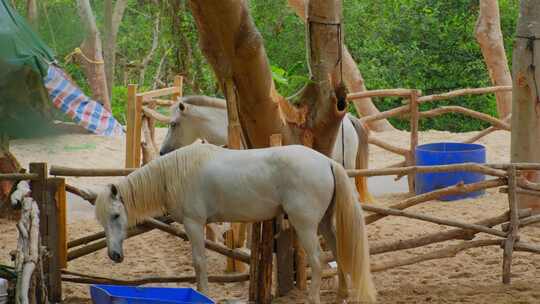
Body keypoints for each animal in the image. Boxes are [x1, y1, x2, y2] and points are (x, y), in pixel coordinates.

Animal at [94, 141, 376, 304]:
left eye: (116, 216)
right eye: (102, 221)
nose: (114, 255)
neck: (177, 173)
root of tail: (326, 161)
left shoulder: (194, 224)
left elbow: (199, 262)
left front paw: (203, 293)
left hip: (305, 225)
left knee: (317, 260)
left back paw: (314, 298)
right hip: (324, 224)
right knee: (338, 252)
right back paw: (342, 295)